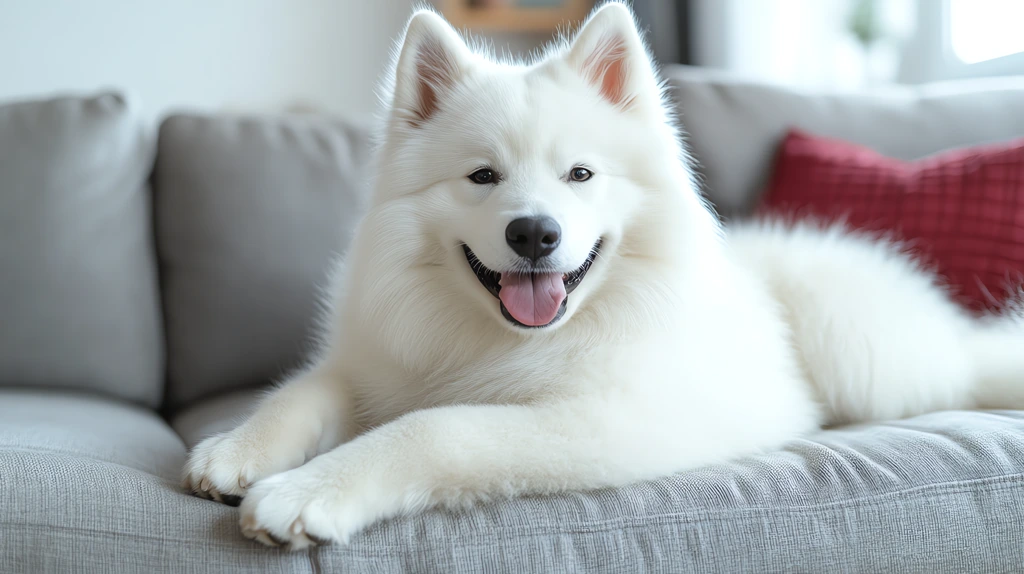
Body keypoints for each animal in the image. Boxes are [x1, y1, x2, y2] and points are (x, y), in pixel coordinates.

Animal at [184, 1, 1024, 544]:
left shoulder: (603, 421)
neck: (496, 340)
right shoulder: (372, 364)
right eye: (482, 177)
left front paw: (307, 491)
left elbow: (436, 429)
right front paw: (237, 449)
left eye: (580, 175)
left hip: (855, 342)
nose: (534, 233)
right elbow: (301, 392)